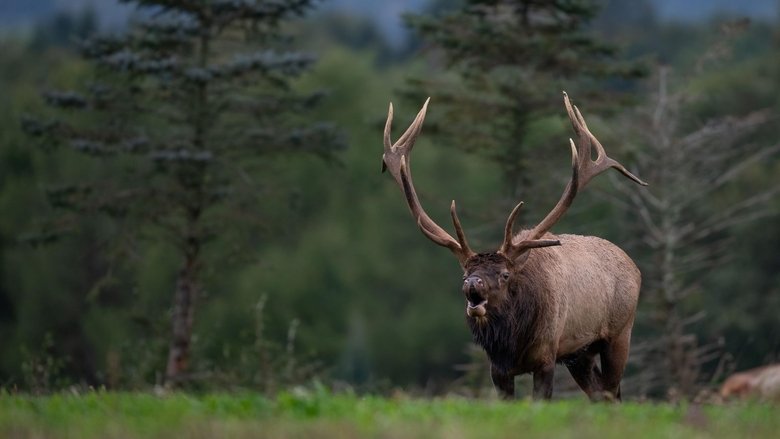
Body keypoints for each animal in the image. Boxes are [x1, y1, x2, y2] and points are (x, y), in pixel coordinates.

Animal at [381, 92, 647, 401]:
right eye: (464, 274)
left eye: (505, 275)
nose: (473, 283)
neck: (511, 345)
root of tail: (634, 265)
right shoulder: (498, 369)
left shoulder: (546, 356)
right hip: (580, 354)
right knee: (599, 394)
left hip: (619, 333)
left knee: (612, 393)